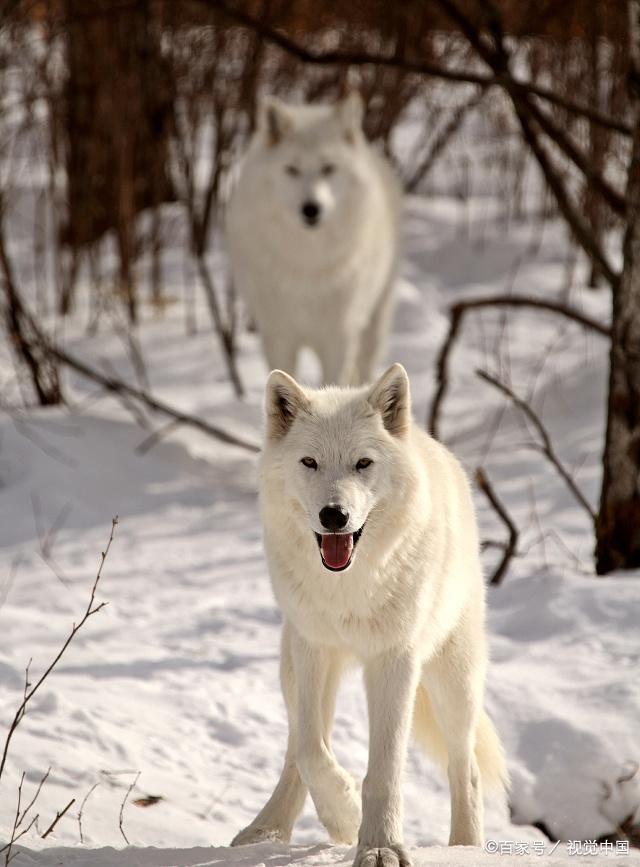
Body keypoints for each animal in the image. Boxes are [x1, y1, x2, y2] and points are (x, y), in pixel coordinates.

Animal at [225, 92, 400, 386]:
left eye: (328, 168)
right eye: (292, 169)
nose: (311, 209)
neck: (307, 262)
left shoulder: (338, 338)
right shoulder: (278, 336)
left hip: (373, 322)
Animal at [232, 364, 508, 867]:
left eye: (363, 464)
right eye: (309, 463)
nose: (334, 515)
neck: (349, 585)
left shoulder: (394, 661)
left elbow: (385, 770)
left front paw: (380, 846)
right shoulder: (313, 648)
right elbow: (311, 750)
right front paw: (344, 815)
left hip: (453, 682)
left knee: (467, 769)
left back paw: (465, 847)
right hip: (291, 663)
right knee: (295, 750)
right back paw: (267, 830)